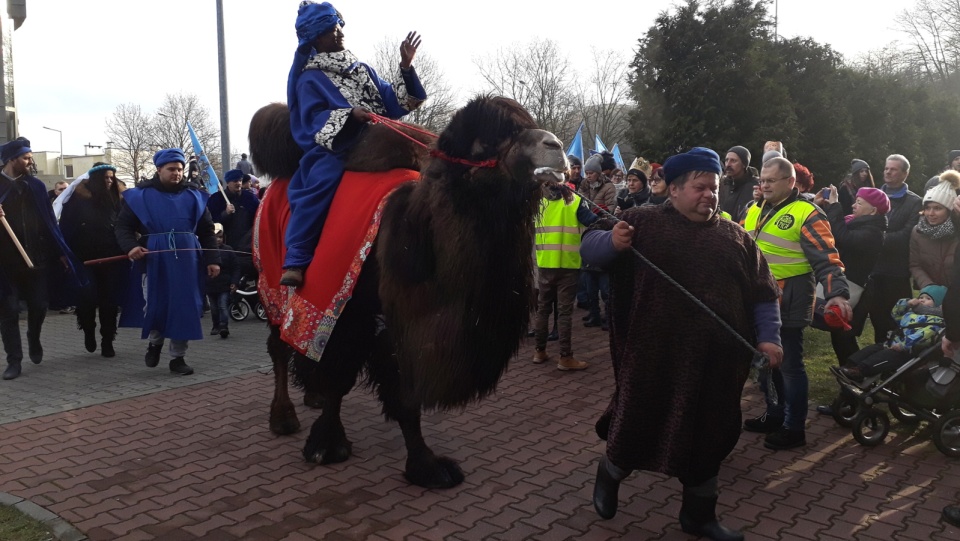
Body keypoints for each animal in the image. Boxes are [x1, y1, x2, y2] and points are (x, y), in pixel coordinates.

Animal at [251, 97, 568, 490]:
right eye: (487, 142)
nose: (556, 147)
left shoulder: (403, 324)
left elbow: (405, 395)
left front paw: (426, 465)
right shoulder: (349, 311)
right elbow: (342, 374)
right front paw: (326, 444)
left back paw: (313, 395)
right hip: (271, 285)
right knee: (279, 346)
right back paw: (283, 417)